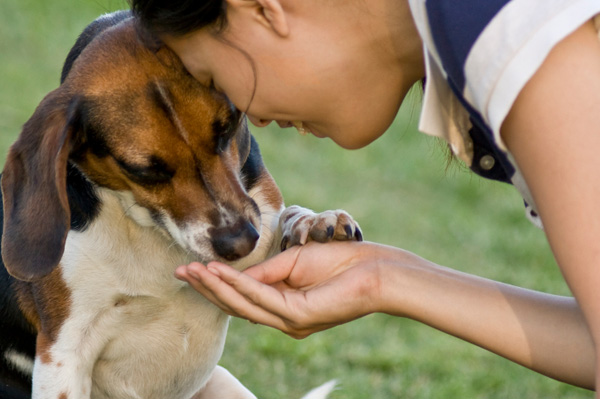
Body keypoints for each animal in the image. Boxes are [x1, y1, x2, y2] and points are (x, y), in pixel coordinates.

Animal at [0, 10, 360, 399]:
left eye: (226, 128)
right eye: (144, 171)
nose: (239, 243)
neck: (153, 232)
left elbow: (284, 222)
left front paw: (313, 220)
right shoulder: (64, 351)